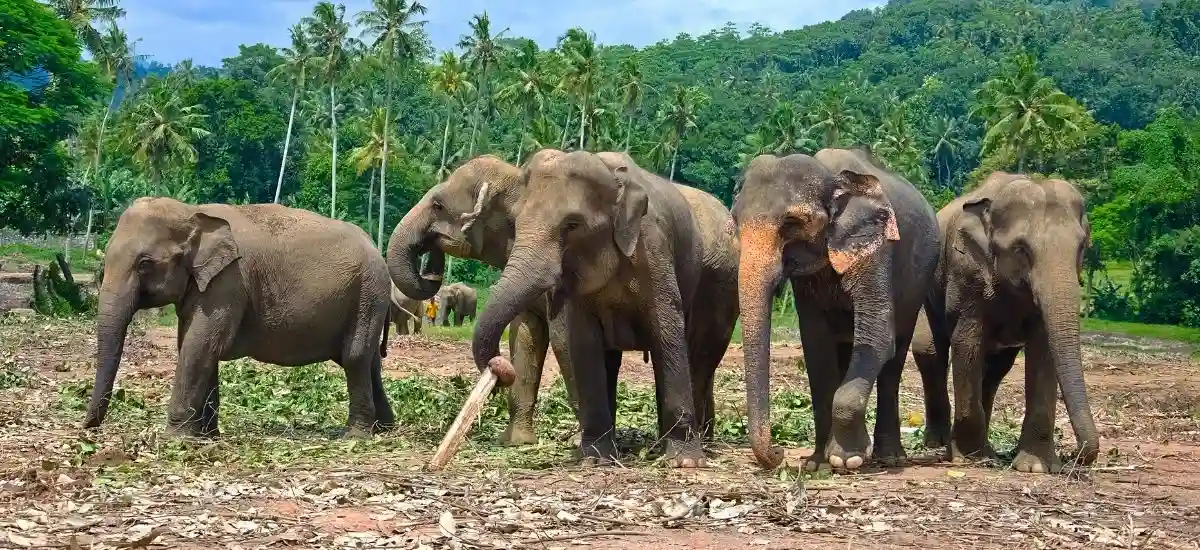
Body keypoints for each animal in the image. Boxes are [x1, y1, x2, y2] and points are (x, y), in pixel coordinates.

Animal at [83, 196, 396, 437]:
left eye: (144, 264)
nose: (88, 427)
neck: (192, 212)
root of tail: (376, 248)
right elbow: (196, 346)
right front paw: (206, 436)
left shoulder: (228, 283)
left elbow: (200, 345)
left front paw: (175, 438)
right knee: (368, 361)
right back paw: (384, 428)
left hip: (368, 293)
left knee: (355, 356)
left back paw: (354, 435)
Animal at [470, 149, 739, 468]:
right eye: (516, 222)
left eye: (572, 225)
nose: (500, 365)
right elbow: (585, 344)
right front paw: (595, 460)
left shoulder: (654, 251)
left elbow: (668, 332)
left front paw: (685, 463)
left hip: (721, 285)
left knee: (700, 358)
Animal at [733, 147, 943, 471]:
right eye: (735, 221)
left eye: (792, 222)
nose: (779, 453)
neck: (831, 176)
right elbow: (816, 347)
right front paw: (817, 464)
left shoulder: (875, 246)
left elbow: (877, 335)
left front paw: (848, 458)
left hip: (918, 283)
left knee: (894, 359)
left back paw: (890, 457)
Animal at [910, 172, 1100, 474]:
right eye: (1021, 249)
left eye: (1082, 247)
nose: (1075, 456)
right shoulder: (967, 274)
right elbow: (966, 345)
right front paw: (972, 458)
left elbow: (1043, 352)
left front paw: (1036, 467)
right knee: (928, 349)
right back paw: (938, 443)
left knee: (996, 369)